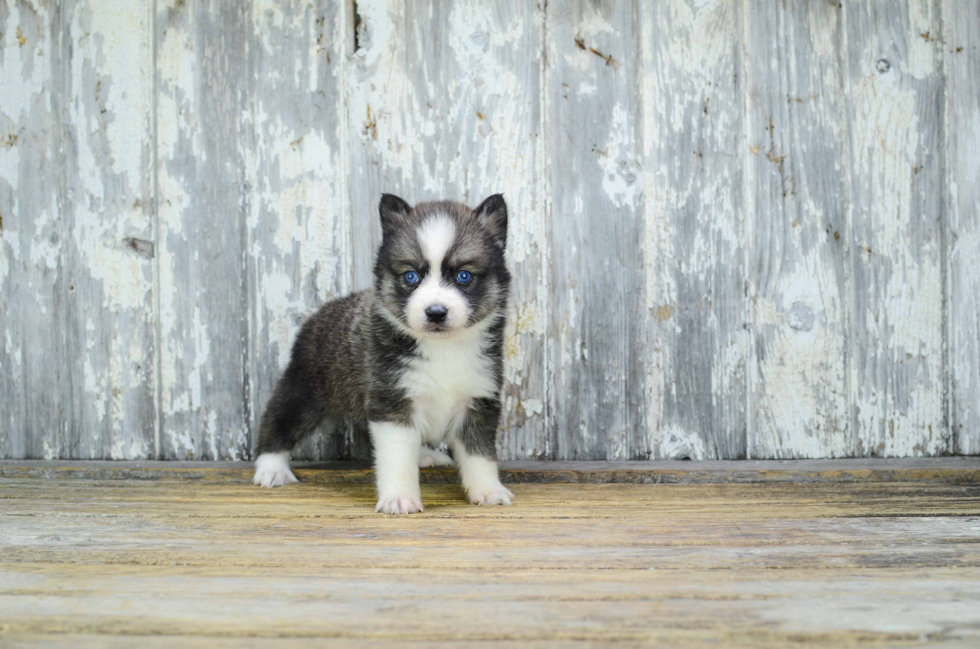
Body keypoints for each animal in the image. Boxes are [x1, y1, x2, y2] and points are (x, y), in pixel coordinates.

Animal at [253, 192, 512, 512]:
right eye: (411, 276)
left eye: (464, 276)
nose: (436, 313)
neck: (442, 347)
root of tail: (322, 312)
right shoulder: (391, 403)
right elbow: (397, 457)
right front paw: (399, 497)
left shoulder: (478, 400)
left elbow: (480, 455)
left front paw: (488, 490)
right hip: (303, 388)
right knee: (278, 420)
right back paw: (271, 467)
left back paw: (424, 454)